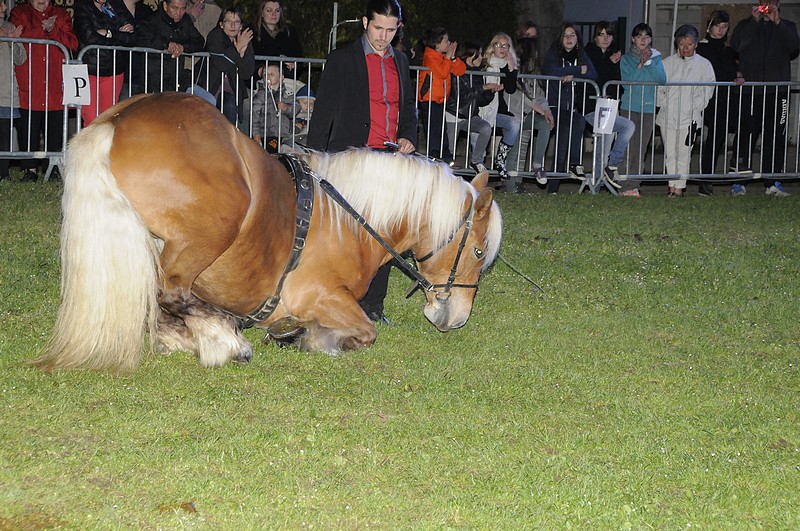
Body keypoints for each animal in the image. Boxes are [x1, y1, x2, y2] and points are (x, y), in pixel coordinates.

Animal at [32, 92, 502, 373]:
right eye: (479, 253)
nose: (456, 319)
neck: (349, 219)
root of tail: (119, 119)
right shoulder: (323, 296)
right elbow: (366, 333)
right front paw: (308, 337)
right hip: (210, 229)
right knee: (172, 293)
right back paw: (224, 339)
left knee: (160, 301)